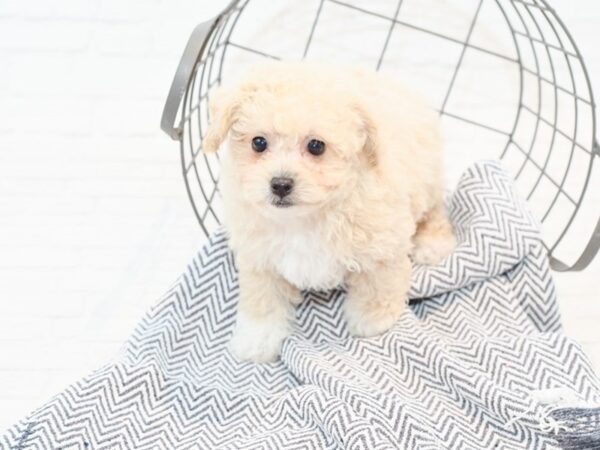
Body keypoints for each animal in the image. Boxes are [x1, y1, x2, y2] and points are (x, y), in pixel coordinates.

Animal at [203, 62, 454, 362]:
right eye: (258, 143)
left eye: (316, 146)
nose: (280, 184)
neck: (305, 218)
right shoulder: (259, 257)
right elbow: (262, 297)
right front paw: (257, 339)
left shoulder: (383, 243)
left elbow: (378, 282)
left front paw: (373, 319)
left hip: (428, 180)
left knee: (434, 211)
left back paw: (432, 243)